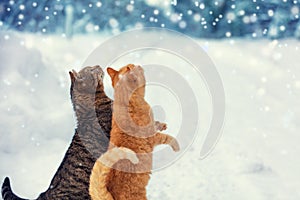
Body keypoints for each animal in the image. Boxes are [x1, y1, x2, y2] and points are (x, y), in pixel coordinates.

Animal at [88, 64, 179, 200]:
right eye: (131, 66)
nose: (138, 65)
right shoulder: (153, 138)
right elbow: (167, 138)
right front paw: (177, 147)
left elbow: (157, 125)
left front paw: (162, 125)